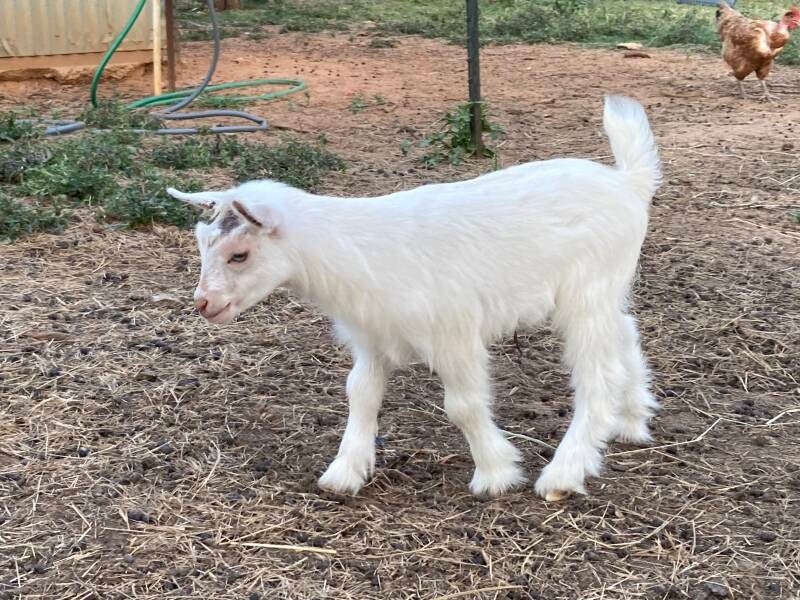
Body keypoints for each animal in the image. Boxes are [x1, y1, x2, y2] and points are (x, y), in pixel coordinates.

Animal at [167, 95, 661, 501]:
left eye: (240, 254)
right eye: (201, 243)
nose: (204, 304)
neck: (357, 251)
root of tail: (628, 183)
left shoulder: (453, 335)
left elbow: (462, 406)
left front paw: (495, 473)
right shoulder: (372, 337)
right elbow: (360, 394)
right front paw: (344, 472)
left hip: (587, 291)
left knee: (597, 376)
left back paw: (563, 473)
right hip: (604, 291)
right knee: (625, 332)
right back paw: (632, 421)